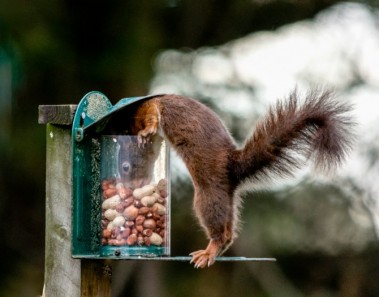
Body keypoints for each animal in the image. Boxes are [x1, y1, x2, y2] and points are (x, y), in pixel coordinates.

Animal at [123, 89, 354, 268]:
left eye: (128, 166)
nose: (134, 183)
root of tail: (233, 167)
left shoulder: (148, 107)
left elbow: (152, 116)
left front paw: (146, 133)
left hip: (208, 194)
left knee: (218, 229)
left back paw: (209, 251)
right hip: (227, 199)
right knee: (228, 232)